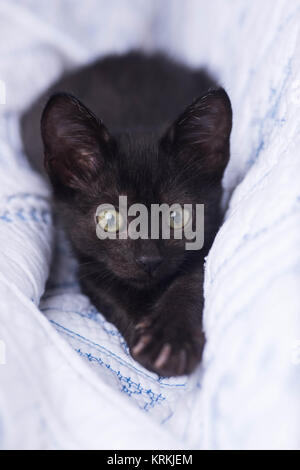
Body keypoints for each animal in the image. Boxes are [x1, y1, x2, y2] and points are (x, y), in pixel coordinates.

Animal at [21, 51, 232, 376]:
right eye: (108, 220)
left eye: (177, 216)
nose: (149, 260)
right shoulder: (87, 267)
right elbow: (114, 293)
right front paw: (152, 340)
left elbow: (192, 278)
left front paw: (172, 338)